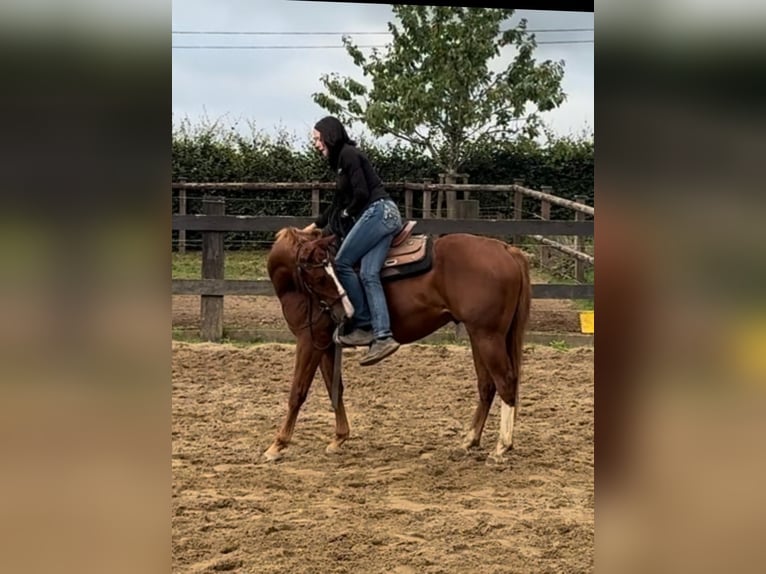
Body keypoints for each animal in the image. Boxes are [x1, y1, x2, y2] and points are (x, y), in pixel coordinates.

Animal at [263, 223, 532, 463]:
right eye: (319, 276)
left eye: (329, 274)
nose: (346, 312)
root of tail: (507, 249)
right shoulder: (326, 345)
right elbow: (335, 389)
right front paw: (339, 438)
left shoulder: (310, 341)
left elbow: (298, 391)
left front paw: (277, 445)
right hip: (480, 336)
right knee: (487, 385)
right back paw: (470, 440)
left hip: (488, 336)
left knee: (505, 381)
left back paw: (501, 447)